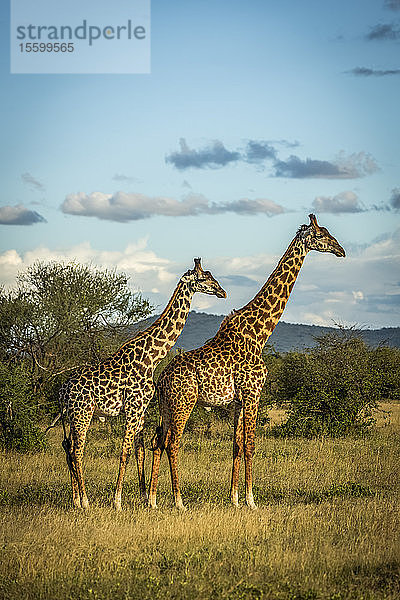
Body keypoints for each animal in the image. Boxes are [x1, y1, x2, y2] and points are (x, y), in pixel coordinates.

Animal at [61, 258, 227, 510]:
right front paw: (117, 501)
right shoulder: (133, 407)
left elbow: (140, 450)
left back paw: (76, 500)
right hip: (83, 413)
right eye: (203, 278)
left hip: (73, 416)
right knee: (78, 452)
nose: (222, 292)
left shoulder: (141, 409)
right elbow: (125, 451)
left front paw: (144, 498)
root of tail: (63, 390)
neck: (151, 358)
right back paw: (86, 501)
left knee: (70, 449)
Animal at [147, 213, 344, 508]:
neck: (259, 333)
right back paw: (179, 501)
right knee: (172, 443)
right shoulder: (253, 393)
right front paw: (252, 499)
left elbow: (237, 445)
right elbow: (251, 444)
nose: (341, 250)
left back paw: (152, 500)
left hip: (167, 406)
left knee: (158, 440)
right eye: (321, 235)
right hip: (184, 403)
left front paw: (235, 498)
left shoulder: (239, 401)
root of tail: (161, 379)